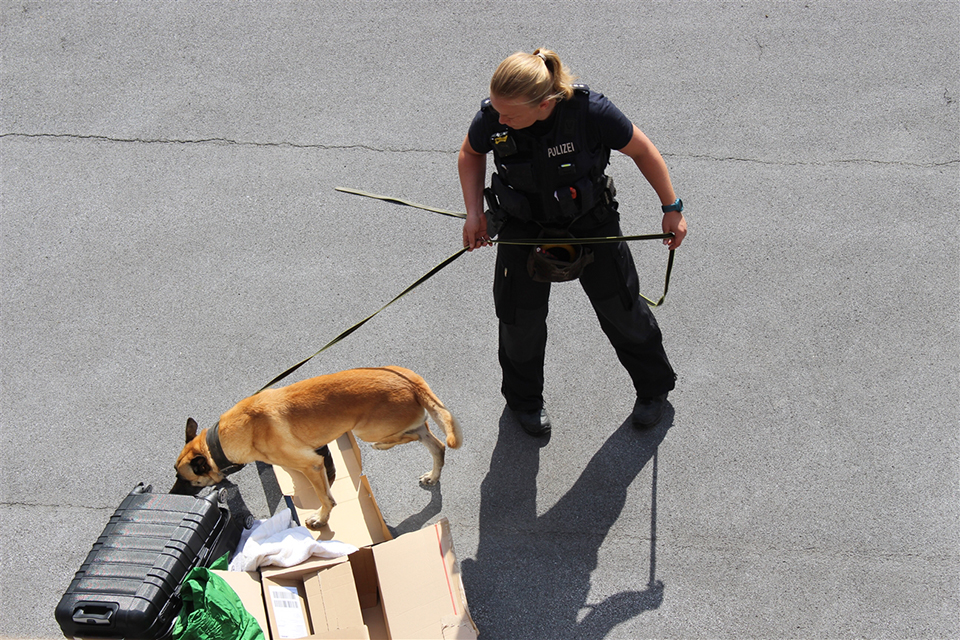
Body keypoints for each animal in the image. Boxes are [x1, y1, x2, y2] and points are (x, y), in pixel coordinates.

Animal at [174, 368, 464, 528]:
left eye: (183, 479)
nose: (172, 494)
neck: (220, 439)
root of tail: (411, 382)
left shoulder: (311, 465)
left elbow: (327, 498)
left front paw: (321, 519)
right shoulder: (316, 457)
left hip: (367, 430)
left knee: (413, 438)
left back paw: (384, 446)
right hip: (403, 425)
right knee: (435, 443)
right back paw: (433, 474)